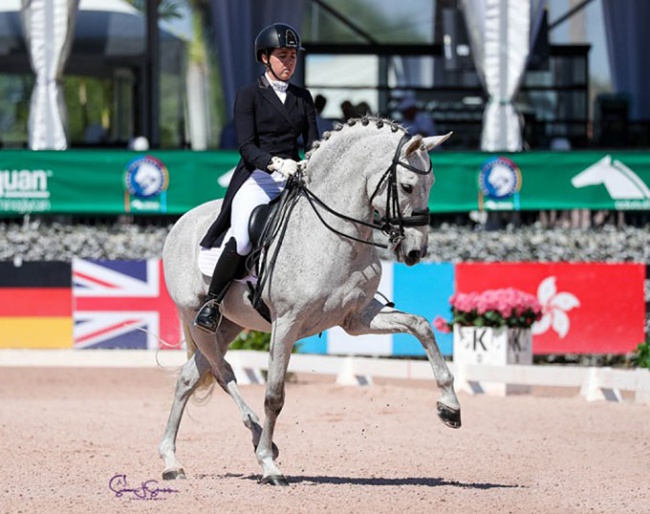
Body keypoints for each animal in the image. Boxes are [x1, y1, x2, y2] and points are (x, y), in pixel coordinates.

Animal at [159, 116, 458, 484]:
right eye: (406, 186)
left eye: (431, 183)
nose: (416, 252)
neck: (336, 236)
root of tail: (183, 221)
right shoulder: (287, 323)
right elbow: (274, 395)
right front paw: (269, 466)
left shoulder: (358, 317)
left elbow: (421, 325)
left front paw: (450, 406)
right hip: (198, 318)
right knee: (223, 372)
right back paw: (253, 442)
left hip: (228, 325)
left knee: (190, 377)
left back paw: (172, 460)